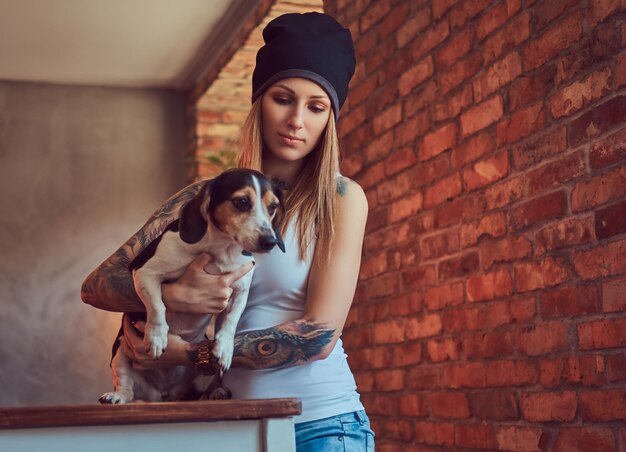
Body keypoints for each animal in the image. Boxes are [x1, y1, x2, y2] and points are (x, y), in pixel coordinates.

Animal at [98, 169, 284, 402]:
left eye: (273, 206)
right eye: (241, 201)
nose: (270, 242)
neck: (220, 249)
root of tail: (163, 396)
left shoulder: (240, 291)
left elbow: (230, 321)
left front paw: (225, 349)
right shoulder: (144, 272)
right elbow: (157, 306)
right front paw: (156, 337)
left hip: (203, 375)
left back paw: (216, 393)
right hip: (121, 350)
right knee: (127, 388)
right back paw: (117, 396)